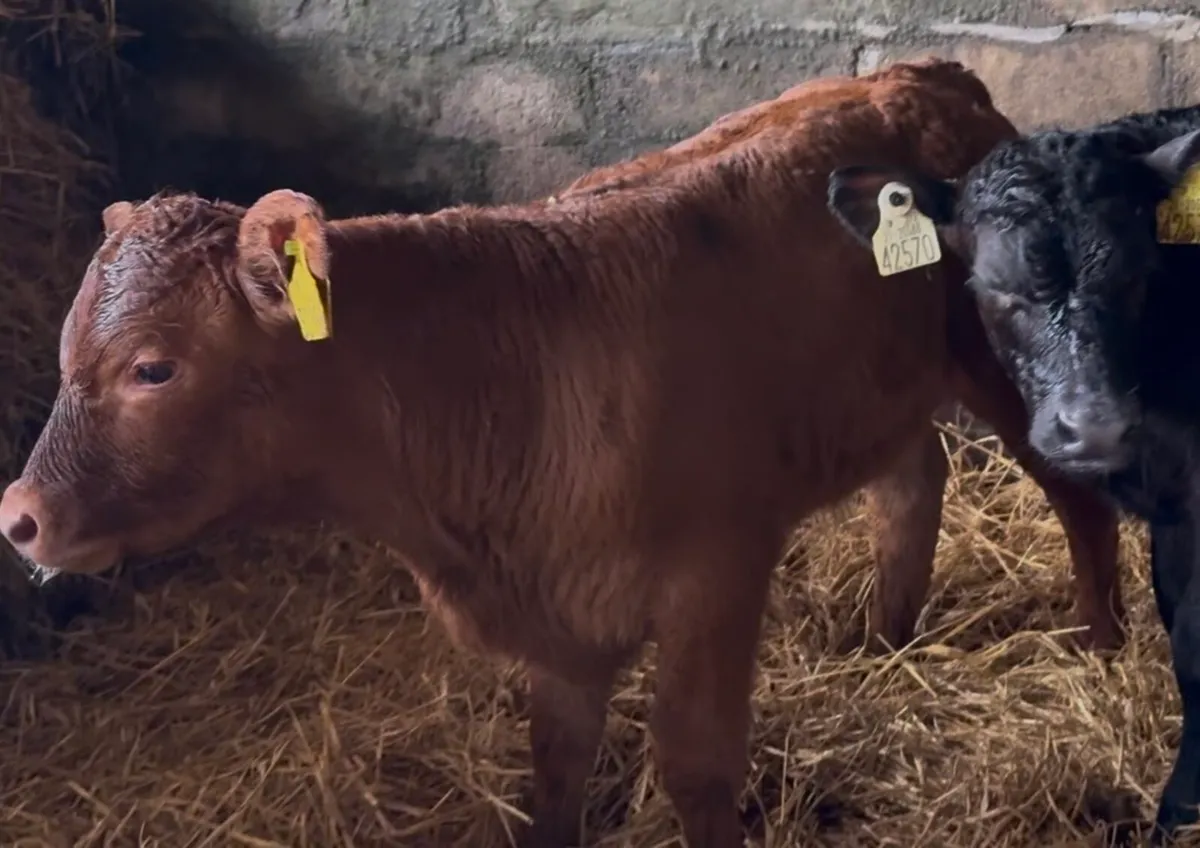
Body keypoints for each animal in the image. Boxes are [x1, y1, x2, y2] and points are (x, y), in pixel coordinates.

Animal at [0, 60, 1120, 847]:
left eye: (153, 367)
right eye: (60, 352)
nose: (20, 516)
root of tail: (921, 73)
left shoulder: (716, 571)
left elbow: (696, 763)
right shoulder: (562, 615)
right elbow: (553, 769)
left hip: (1004, 359)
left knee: (1074, 493)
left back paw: (1105, 647)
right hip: (873, 388)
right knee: (912, 479)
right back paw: (885, 639)